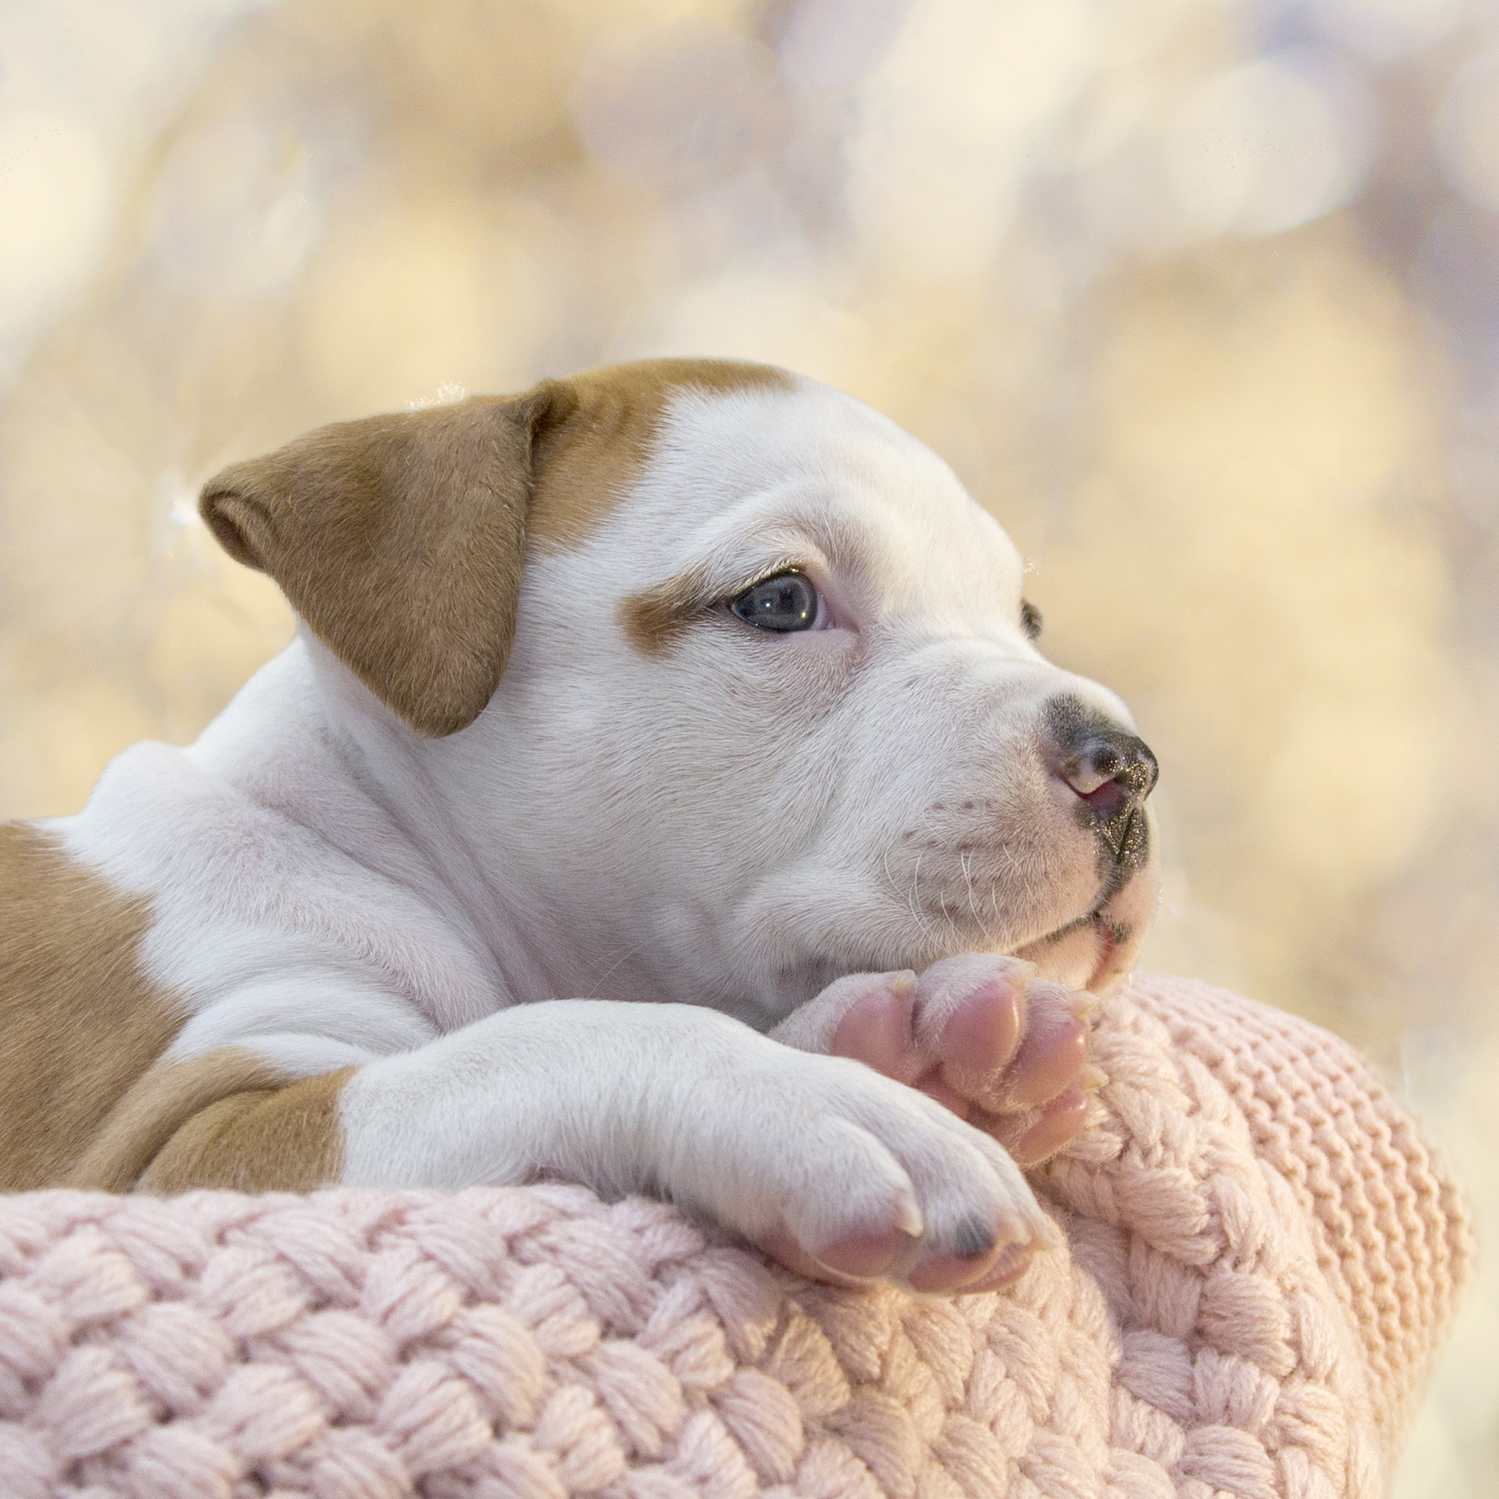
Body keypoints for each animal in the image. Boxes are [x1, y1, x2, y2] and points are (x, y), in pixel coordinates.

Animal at [0, 356, 1157, 1295]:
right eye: (779, 601)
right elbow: (543, 1040)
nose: (1129, 765)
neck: (367, 840)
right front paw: (825, 1100)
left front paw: (916, 1047)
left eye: (1023, 620)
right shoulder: (164, 1157)